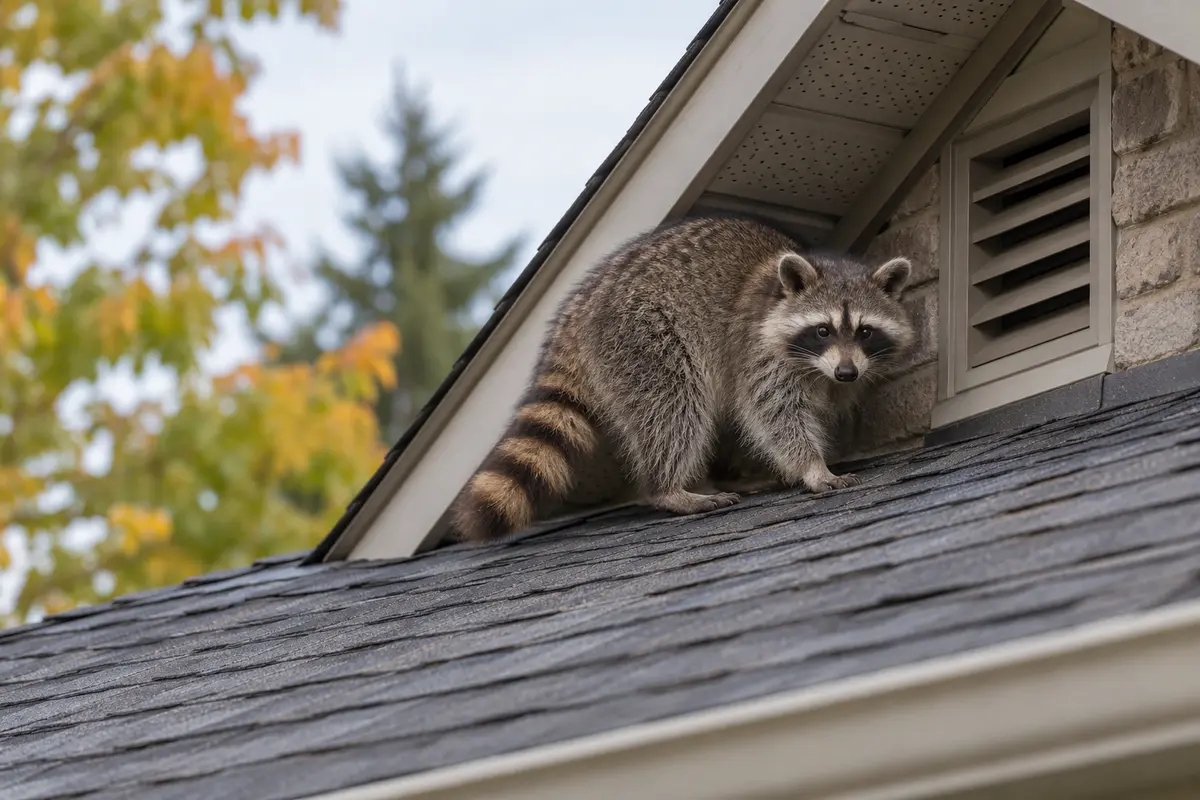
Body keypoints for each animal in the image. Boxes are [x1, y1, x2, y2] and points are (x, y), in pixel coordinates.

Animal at [449, 215, 917, 543]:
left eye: (865, 332)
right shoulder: (758, 352)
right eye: (822, 330)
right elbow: (772, 412)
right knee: (674, 406)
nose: (846, 372)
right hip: (642, 335)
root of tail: (577, 309)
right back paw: (671, 487)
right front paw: (812, 467)